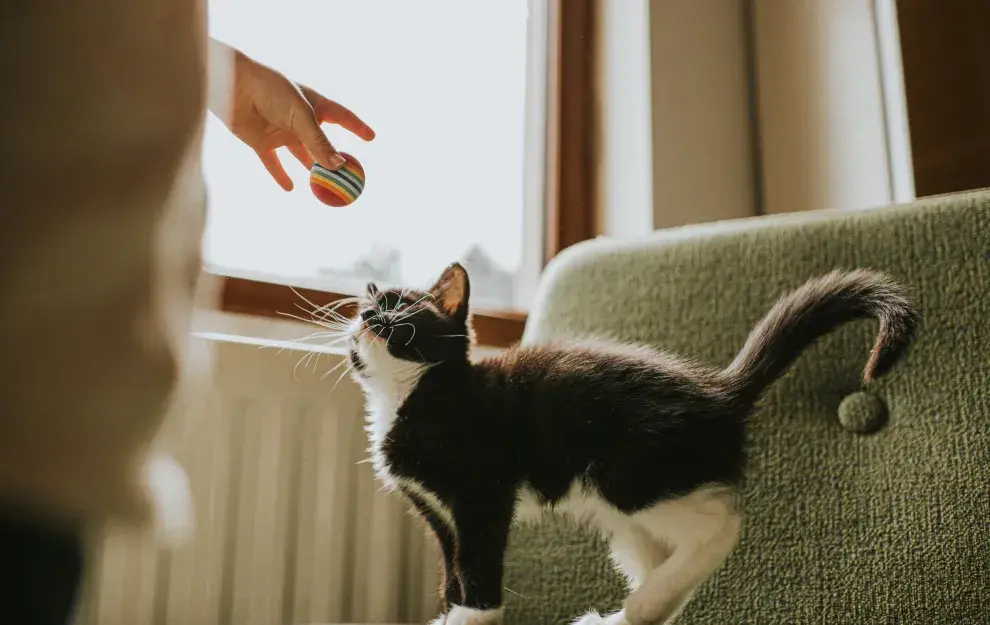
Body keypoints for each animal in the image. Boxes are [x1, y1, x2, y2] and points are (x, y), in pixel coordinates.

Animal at [348, 264, 924, 624]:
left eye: (399, 305)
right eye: (362, 309)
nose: (365, 317)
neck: (414, 394)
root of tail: (717, 392)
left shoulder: (482, 494)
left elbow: (477, 559)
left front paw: (474, 616)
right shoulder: (435, 510)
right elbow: (452, 564)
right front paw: (452, 608)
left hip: (628, 475)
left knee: (721, 526)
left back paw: (646, 601)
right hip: (626, 510)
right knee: (662, 562)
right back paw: (634, 612)